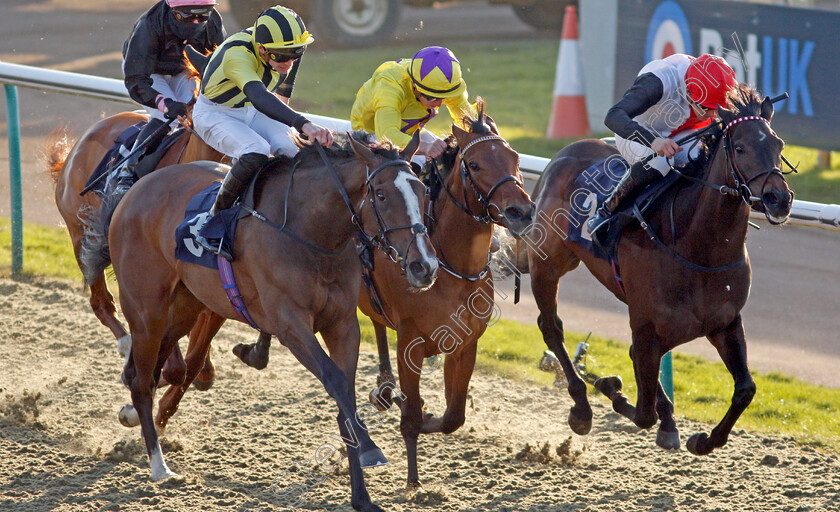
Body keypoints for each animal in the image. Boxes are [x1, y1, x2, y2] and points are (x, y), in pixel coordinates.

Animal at [83, 133, 436, 512]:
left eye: (422, 191)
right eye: (381, 194)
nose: (424, 266)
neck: (312, 233)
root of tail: (133, 191)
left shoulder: (342, 325)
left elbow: (345, 392)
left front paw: (362, 497)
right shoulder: (291, 325)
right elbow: (337, 383)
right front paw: (370, 450)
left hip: (185, 305)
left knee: (149, 371)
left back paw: (135, 416)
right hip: (147, 308)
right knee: (142, 377)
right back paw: (159, 466)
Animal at [360, 100, 532, 488]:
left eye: (515, 157)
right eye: (475, 164)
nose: (521, 211)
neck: (452, 267)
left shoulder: (465, 342)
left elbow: (454, 416)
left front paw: (427, 416)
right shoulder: (410, 342)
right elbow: (411, 415)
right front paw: (413, 481)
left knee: (376, 324)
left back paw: (384, 387)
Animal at [516, 85, 796, 456]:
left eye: (778, 144)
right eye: (740, 147)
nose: (780, 199)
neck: (698, 246)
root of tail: (561, 157)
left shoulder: (723, 322)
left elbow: (745, 388)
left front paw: (702, 439)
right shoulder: (646, 323)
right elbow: (643, 409)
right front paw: (611, 388)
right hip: (547, 265)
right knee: (552, 328)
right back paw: (581, 408)